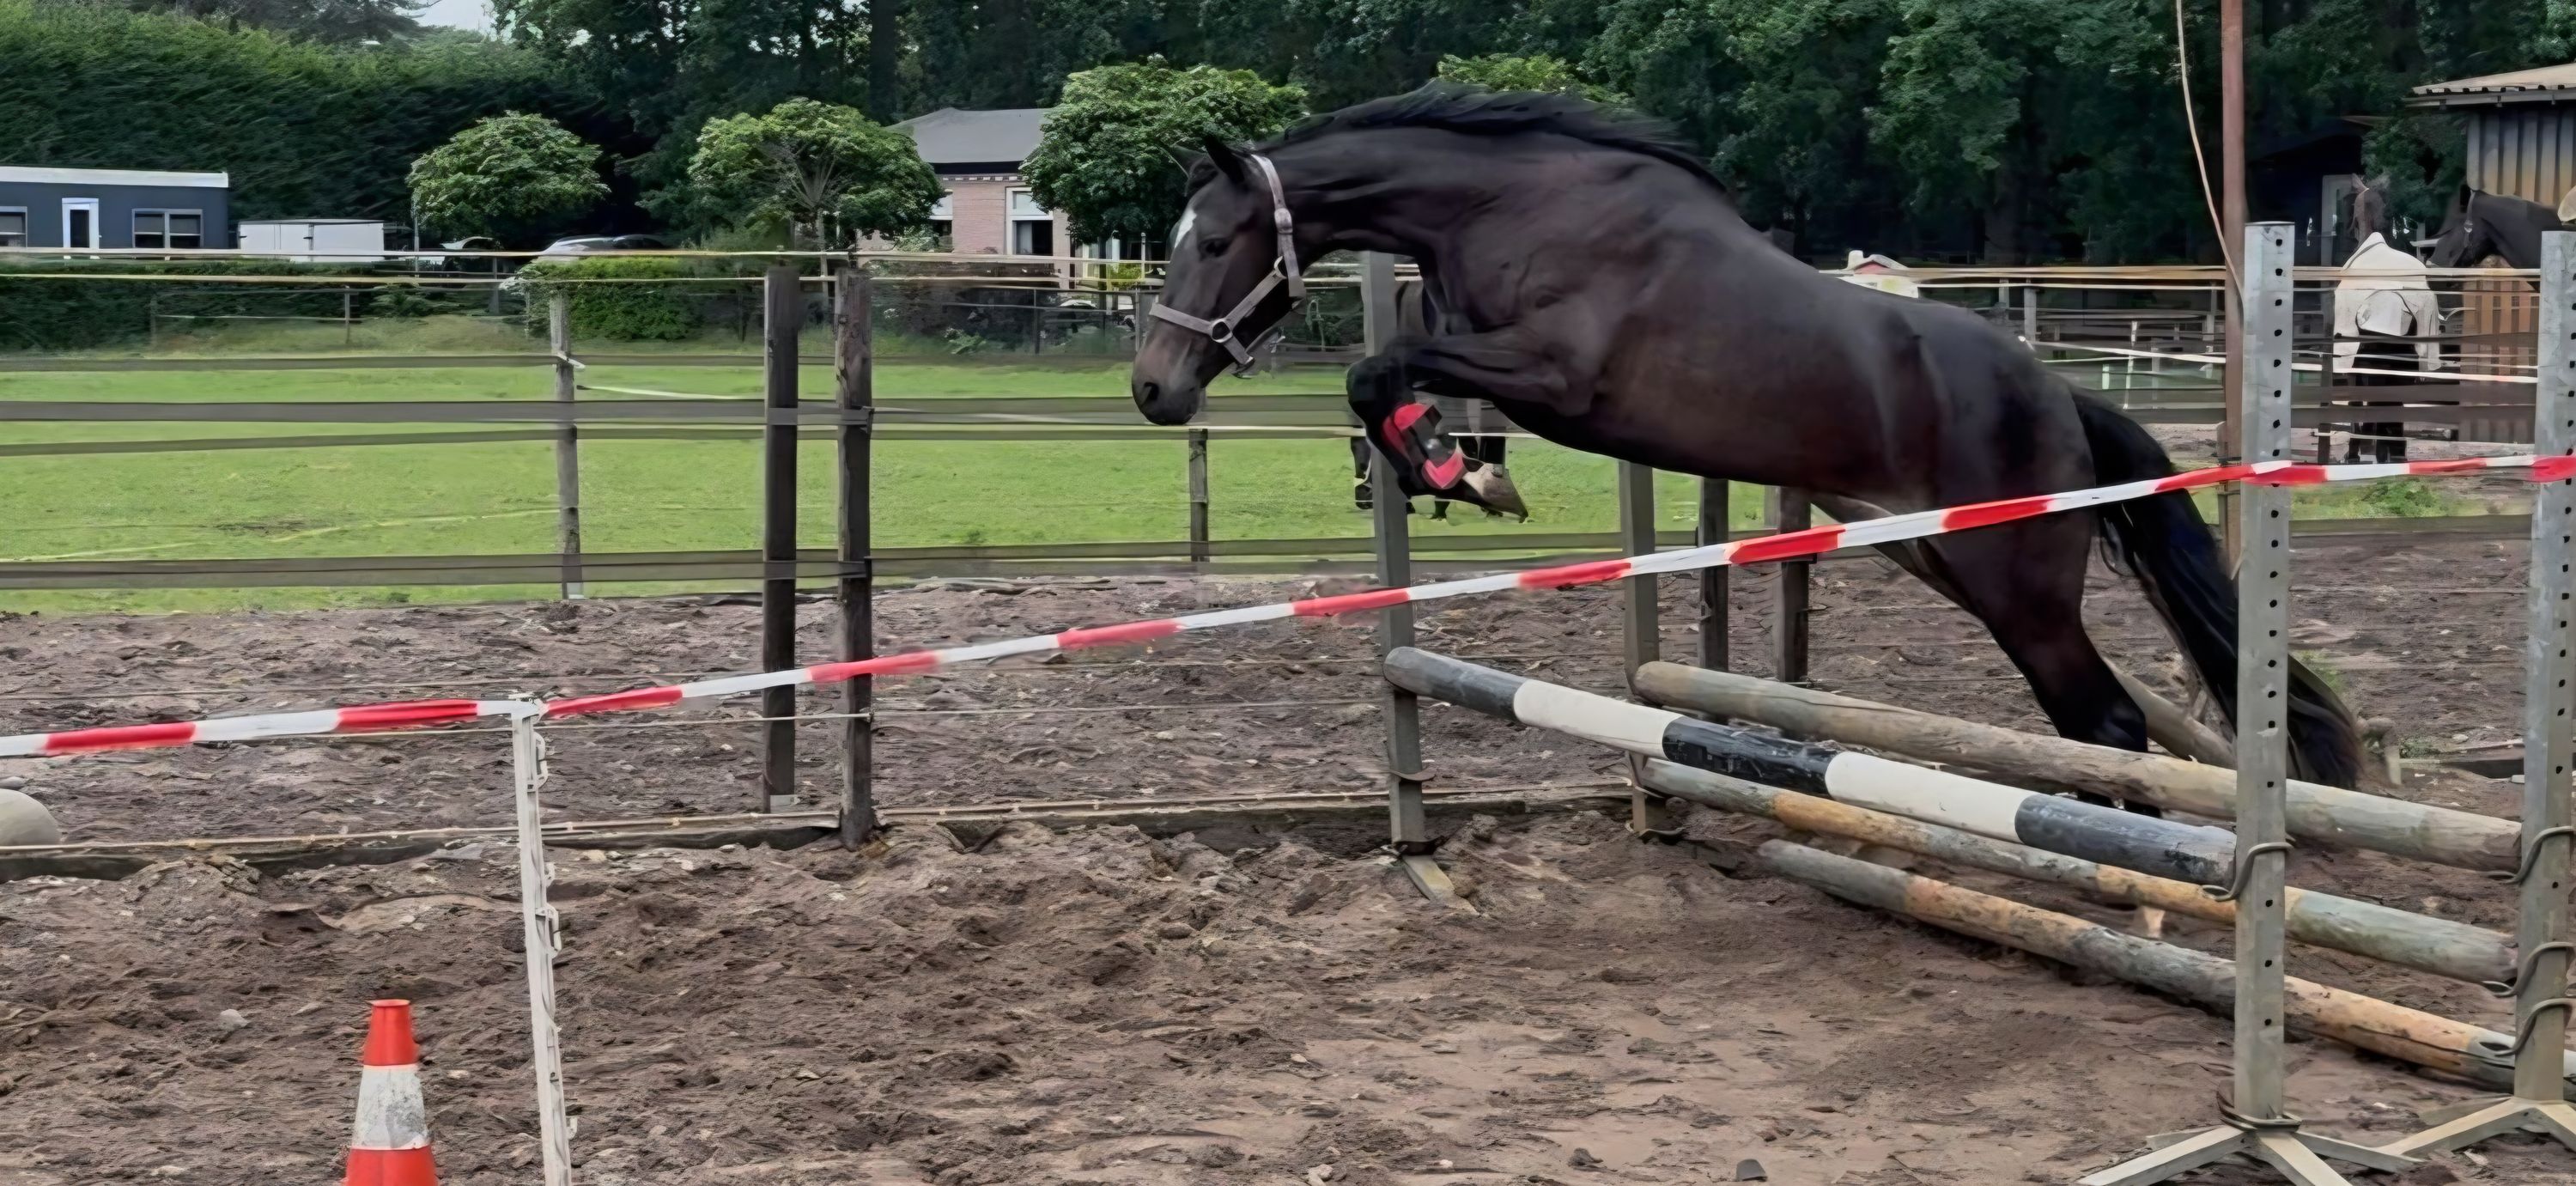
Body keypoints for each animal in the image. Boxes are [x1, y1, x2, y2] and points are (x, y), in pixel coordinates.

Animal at [1130, 85, 2363, 792]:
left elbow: (1379, 371)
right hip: (1942, 556)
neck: (1512, 204)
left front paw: (1449, 468)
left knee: (2104, 720)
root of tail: (2062, 398)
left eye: (1218, 239)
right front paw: (1452, 468)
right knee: (2091, 721)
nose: (1153, 390)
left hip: (2019, 585)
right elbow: (1388, 381)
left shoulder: (1554, 378)